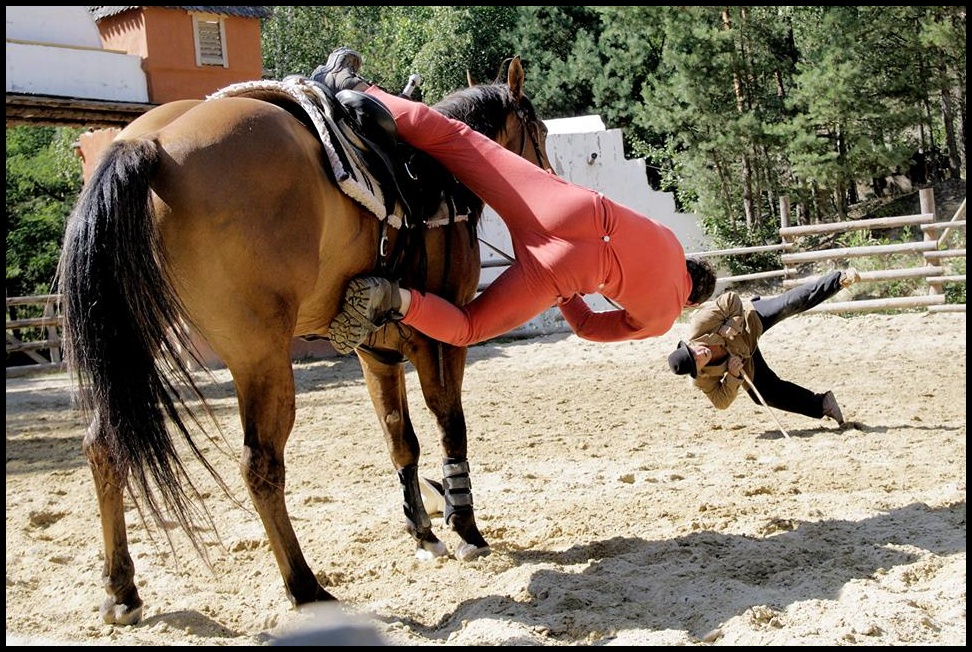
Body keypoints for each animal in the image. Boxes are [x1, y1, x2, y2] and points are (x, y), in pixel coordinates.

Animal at [58, 58, 548, 624]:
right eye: (540, 131)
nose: (547, 178)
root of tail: (151, 144)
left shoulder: (375, 349)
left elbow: (399, 437)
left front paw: (422, 530)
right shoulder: (445, 339)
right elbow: (452, 427)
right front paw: (465, 527)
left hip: (140, 340)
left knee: (104, 442)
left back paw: (121, 588)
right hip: (261, 356)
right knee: (261, 466)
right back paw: (306, 586)